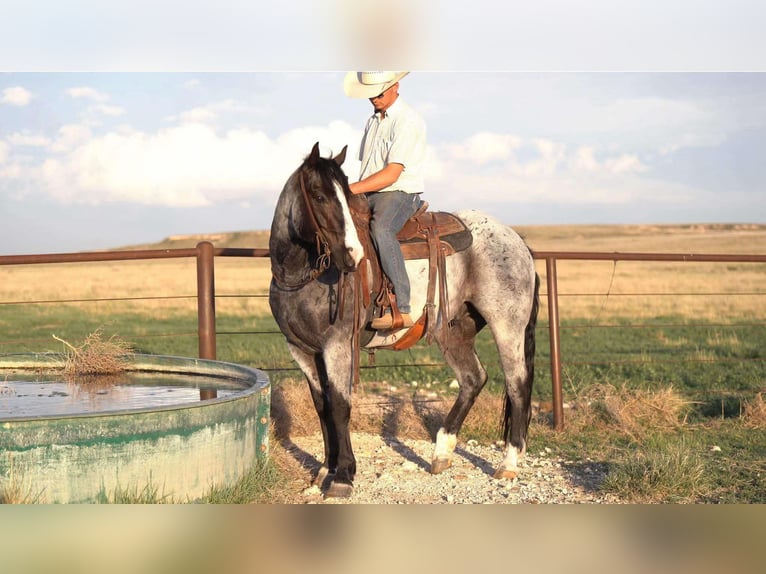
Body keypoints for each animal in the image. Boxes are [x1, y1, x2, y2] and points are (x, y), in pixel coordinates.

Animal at [269, 143, 540, 498]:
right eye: (318, 195)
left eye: (344, 194)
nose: (353, 256)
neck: (302, 273)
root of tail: (517, 239)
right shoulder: (301, 350)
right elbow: (322, 407)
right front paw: (324, 471)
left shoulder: (337, 346)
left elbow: (340, 406)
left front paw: (343, 476)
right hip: (453, 331)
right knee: (473, 379)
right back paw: (441, 454)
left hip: (507, 325)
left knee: (517, 384)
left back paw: (508, 463)